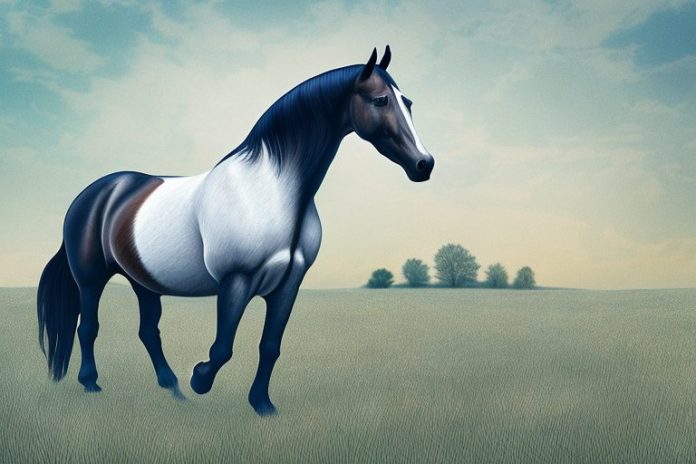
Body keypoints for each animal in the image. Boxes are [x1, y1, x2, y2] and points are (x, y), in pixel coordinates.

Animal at [37, 46, 435, 415]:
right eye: (381, 100)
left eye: (408, 102)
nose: (424, 164)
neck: (272, 191)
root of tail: (94, 194)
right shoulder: (236, 280)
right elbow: (222, 348)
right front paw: (200, 378)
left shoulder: (288, 284)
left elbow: (269, 347)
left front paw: (261, 404)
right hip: (91, 279)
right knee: (87, 327)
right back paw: (92, 383)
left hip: (144, 281)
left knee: (148, 331)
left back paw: (172, 387)